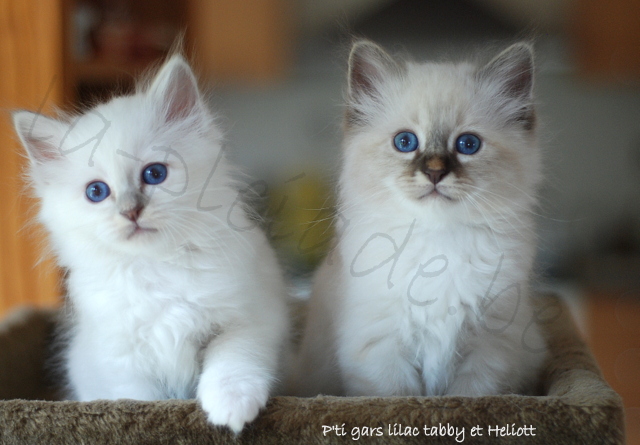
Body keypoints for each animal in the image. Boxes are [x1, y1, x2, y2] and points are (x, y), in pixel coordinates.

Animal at [13, 53, 288, 428]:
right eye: (96, 192)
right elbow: (139, 403)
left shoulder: (245, 319)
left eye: (154, 174)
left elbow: (232, 366)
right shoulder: (122, 360)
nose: (131, 211)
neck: (158, 268)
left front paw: (231, 409)